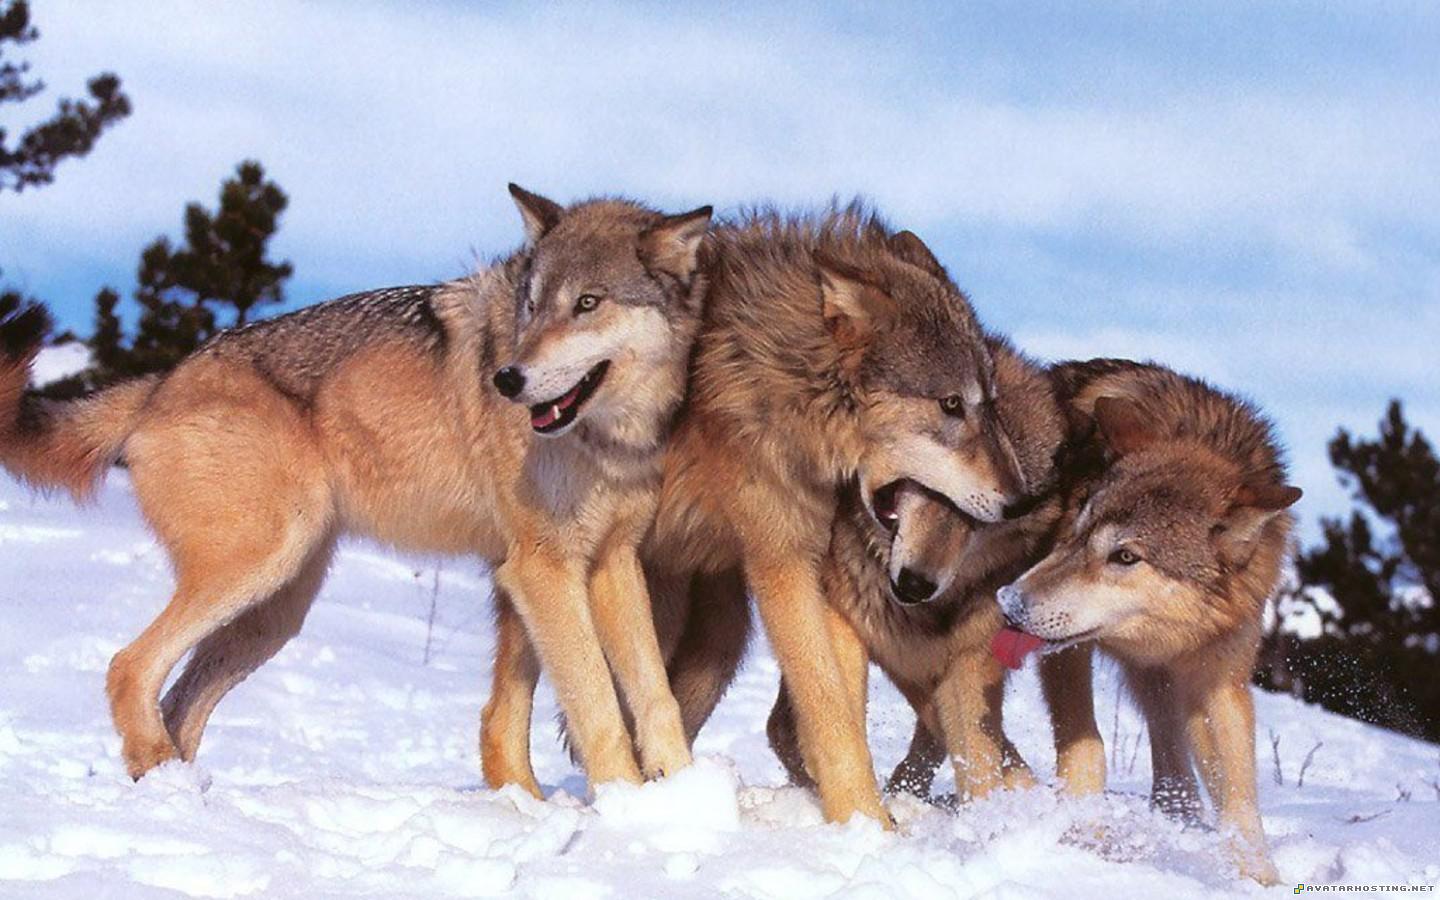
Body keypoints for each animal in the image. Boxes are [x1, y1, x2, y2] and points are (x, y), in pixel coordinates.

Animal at [0, 187, 712, 791]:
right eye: (532, 307)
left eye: (588, 303)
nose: (507, 379)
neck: (607, 439)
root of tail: (158, 385)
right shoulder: (542, 569)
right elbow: (598, 705)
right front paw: (630, 812)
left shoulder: (611, 562)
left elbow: (655, 695)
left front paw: (684, 802)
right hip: (259, 567)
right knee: (128, 666)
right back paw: (158, 770)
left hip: (275, 612)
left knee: (179, 703)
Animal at [480, 206, 1029, 825]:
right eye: (951, 404)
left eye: (989, 403)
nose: (1019, 499)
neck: (782, 372)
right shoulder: (781, 563)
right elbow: (832, 715)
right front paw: (869, 825)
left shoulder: (811, 559)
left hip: (711, 632)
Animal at [994, 359, 1301, 884]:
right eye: (1077, 531)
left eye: (1125, 556)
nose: (1009, 604)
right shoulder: (1068, 654)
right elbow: (1086, 747)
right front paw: (1085, 835)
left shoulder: (1221, 679)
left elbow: (1240, 795)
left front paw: (1259, 878)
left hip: (1159, 685)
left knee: (1176, 769)